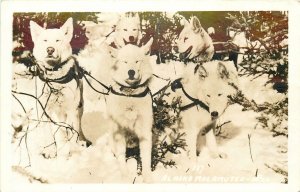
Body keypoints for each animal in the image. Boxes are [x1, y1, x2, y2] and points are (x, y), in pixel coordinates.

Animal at [11, 17, 91, 159]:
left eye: (58, 40)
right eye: (45, 40)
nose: (50, 49)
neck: (55, 77)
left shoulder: (72, 108)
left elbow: (72, 131)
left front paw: (72, 151)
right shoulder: (44, 109)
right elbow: (50, 132)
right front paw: (50, 150)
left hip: (79, 106)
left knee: (77, 126)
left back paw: (80, 141)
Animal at [105, 37, 154, 182]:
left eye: (137, 61)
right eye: (125, 62)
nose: (131, 72)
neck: (130, 95)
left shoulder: (145, 131)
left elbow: (146, 158)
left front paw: (147, 178)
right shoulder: (119, 131)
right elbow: (121, 157)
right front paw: (125, 176)